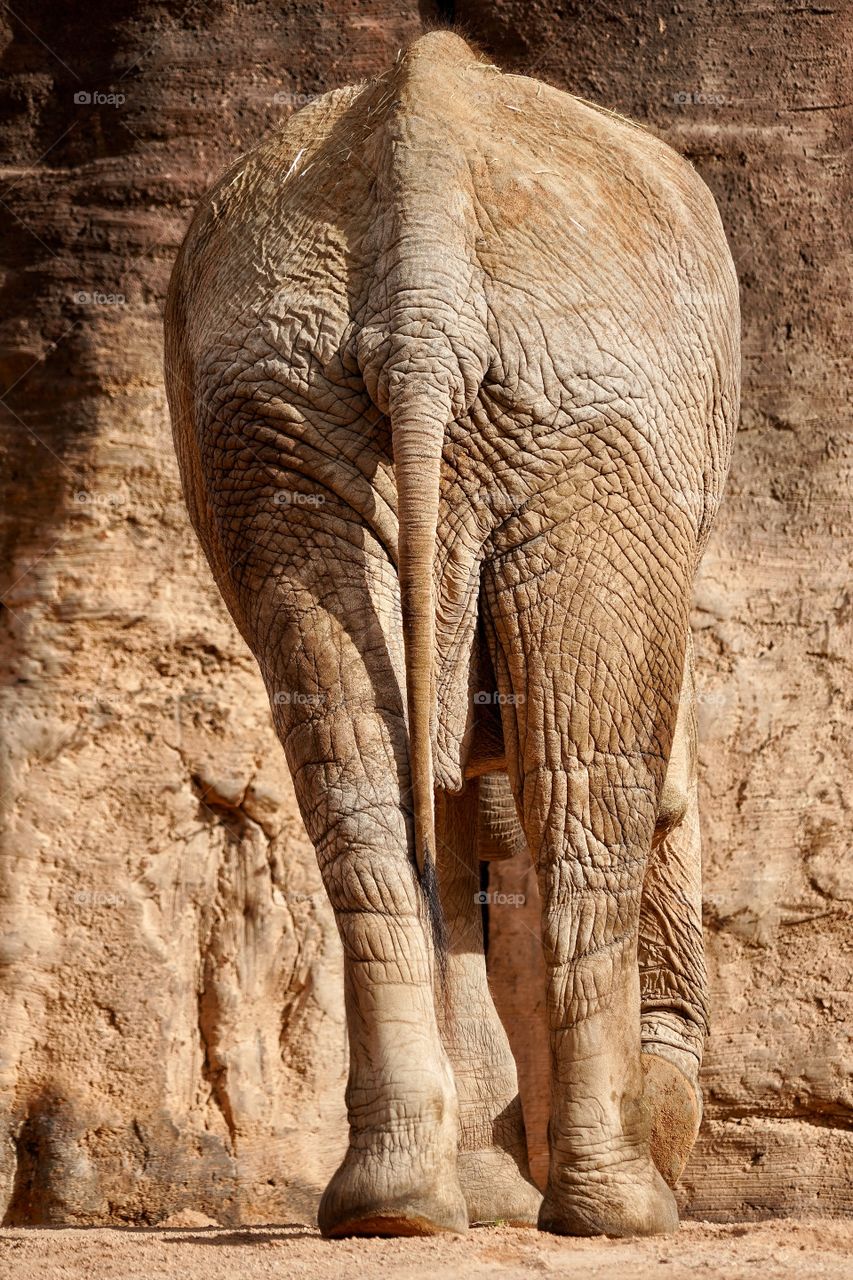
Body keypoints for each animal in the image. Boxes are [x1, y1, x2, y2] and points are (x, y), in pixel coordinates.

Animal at [164, 29, 739, 1239]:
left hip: (274, 410)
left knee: (358, 784)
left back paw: (395, 1211)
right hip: (602, 416)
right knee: (585, 780)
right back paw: (617, 1211)